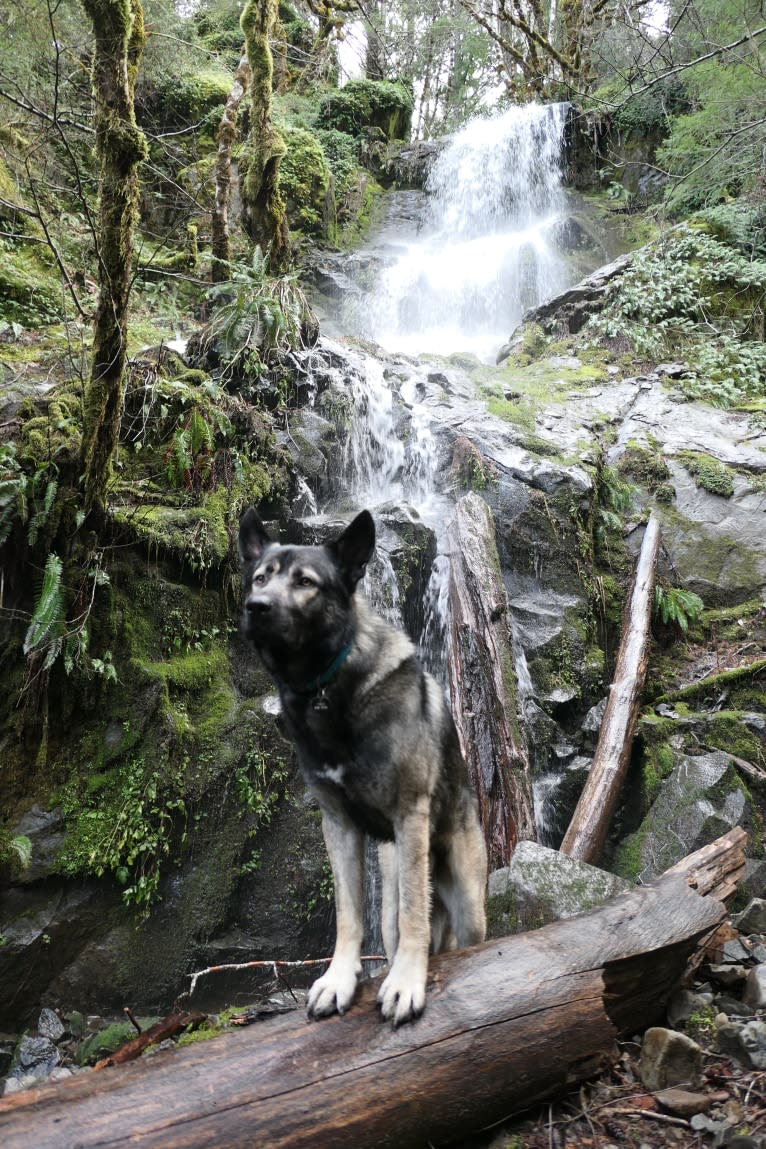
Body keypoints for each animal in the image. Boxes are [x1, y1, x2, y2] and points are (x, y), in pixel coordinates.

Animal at [237, 507, 484, 1029]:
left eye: (305, 582)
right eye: (260, 577)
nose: (256, 606)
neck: (326, 687)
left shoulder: (410, 812)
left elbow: (414, 914)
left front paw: (408, 983)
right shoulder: (338, 824)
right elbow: (348, 914)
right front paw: (339, 980)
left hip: (467, 899)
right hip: (391, 886)